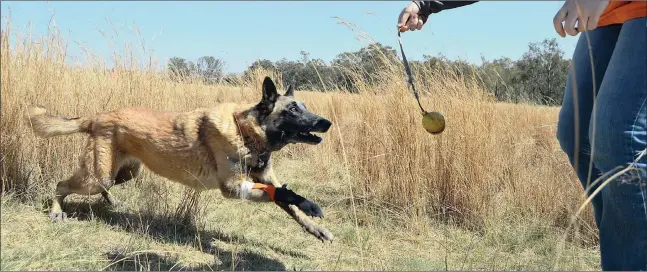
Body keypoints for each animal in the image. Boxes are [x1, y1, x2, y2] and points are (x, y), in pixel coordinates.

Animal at [25, 76, 334, 242]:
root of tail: (97, 116)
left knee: (104, 188)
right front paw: (309, 205)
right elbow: (283, 194)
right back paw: (56, 211)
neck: (245, 131)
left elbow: (287, 202)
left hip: (122, 174)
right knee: (61, 185)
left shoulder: (264, 178)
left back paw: (111, 202)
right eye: (292, 109)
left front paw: (315, 227)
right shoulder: (234, 188)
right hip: (96, 176)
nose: (327, 123)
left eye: (304, 106)